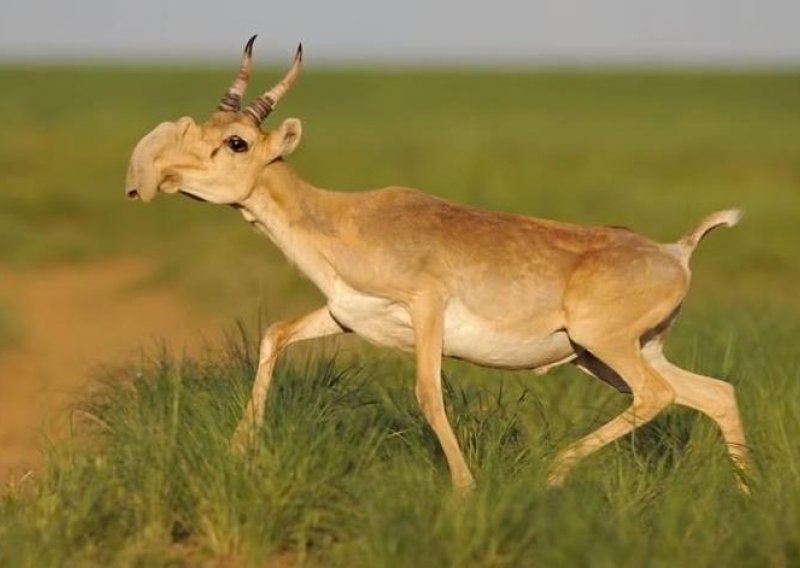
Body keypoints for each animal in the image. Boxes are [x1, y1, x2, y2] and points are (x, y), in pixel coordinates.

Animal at [125, 38, 752, 492]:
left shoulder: (426, 308)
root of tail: (675, 252)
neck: (344, 218)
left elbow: (428, 393)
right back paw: (746, 497)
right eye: (203, 128)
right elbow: (274, 334)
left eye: (236, 142)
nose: (158, 175)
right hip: (611, 355)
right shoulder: (345, 316)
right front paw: (238, 450)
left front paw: (465, 490)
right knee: (715, 393)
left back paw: (553, 472)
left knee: (659, 396)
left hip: (604, 346)